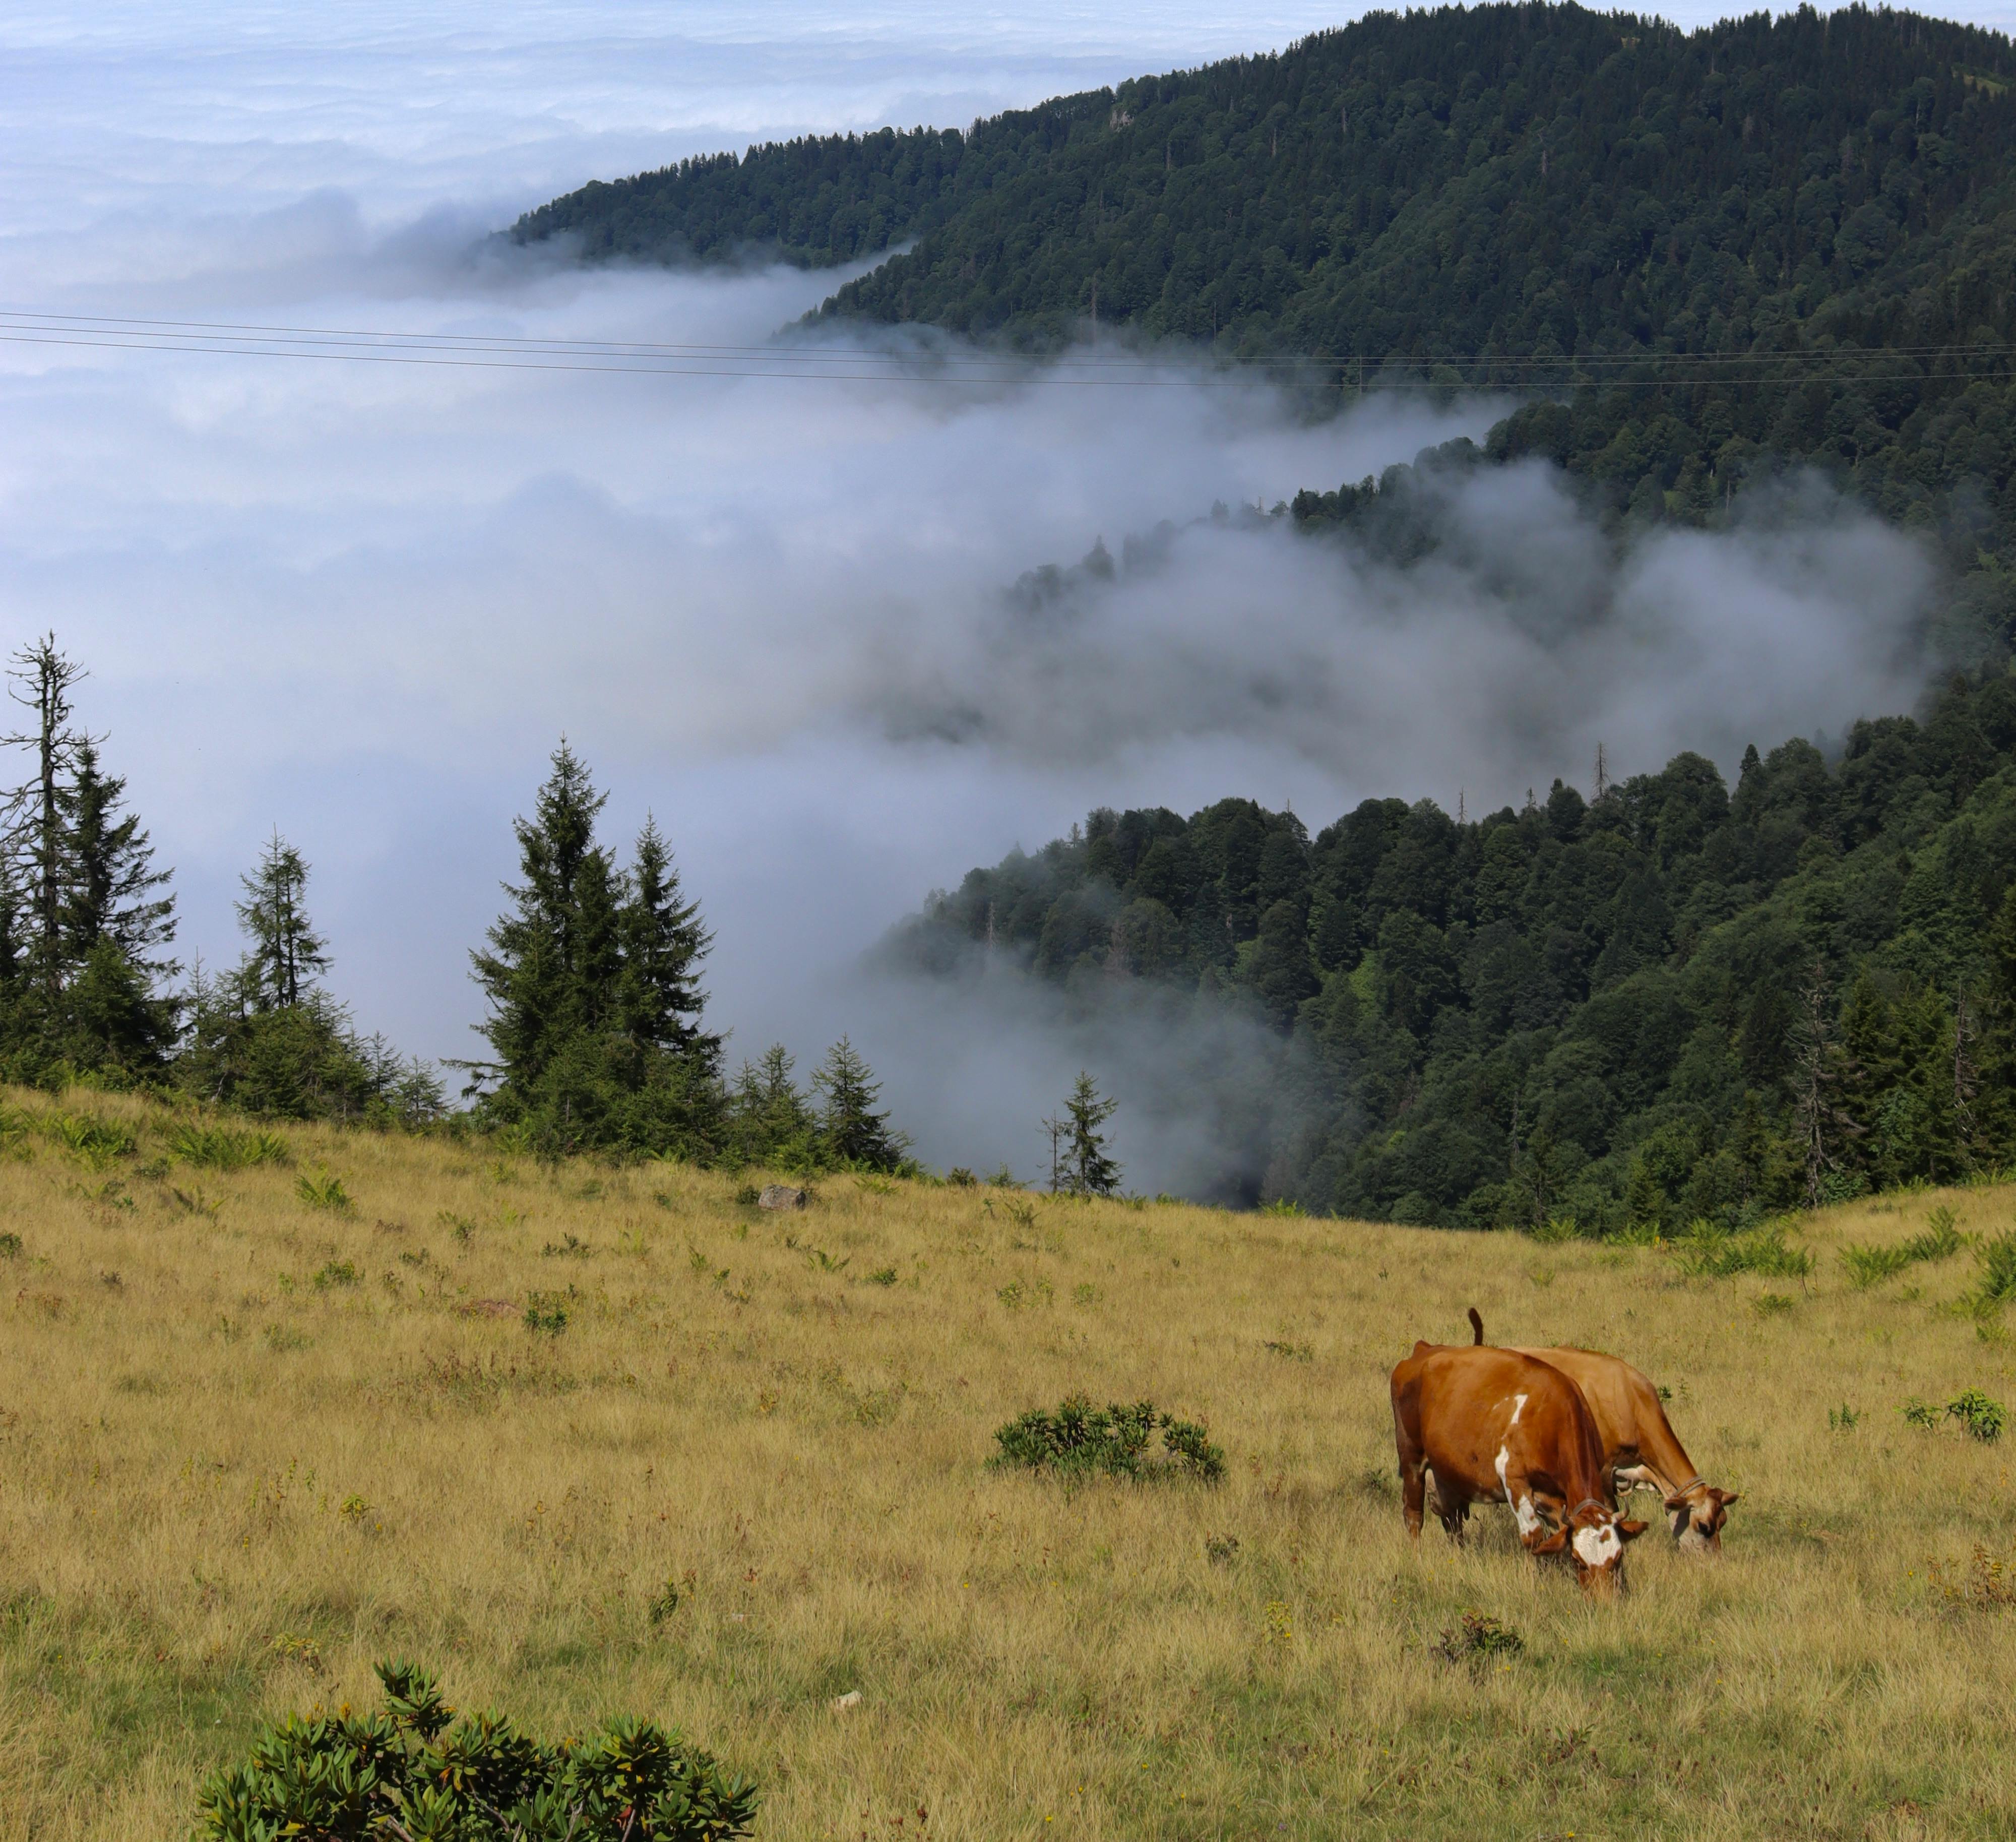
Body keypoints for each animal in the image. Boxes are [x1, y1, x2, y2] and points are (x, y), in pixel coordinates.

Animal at [1389, 1326, 1647, 1595]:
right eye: (1579, 1561)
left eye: (1618, 1558)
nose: (1604, 1600)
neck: (1551, 1420)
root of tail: (1425, 1350)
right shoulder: (1515, 1481)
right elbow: (1533, 1538)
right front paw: (1532, 1579)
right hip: (1411, 1458)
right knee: (1414, 1515)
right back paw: (1417, 1558)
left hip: (1446, 1473)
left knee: (1452, 1519)